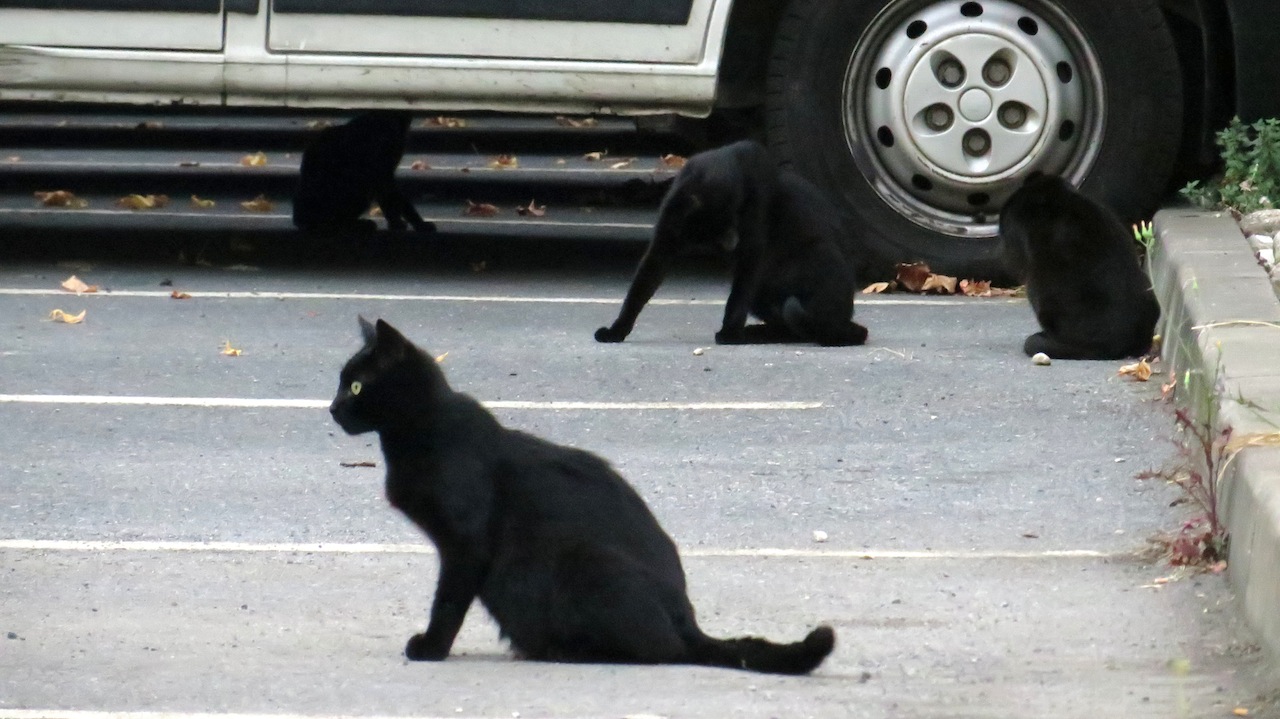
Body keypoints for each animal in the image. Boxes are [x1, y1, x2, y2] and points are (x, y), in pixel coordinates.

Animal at [294, 110, 440, 235]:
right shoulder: (382, 165)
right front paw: (417, 223)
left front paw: (396, 222)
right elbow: (391, 193)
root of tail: (300, 218)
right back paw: (354, 224)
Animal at [325, 314, 834, 670]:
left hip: (583, 561)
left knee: (660, 650)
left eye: (357, 385)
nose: (331, 408)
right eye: (340, 384)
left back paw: (564, 650)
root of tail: (688, 622)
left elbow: (448, 602)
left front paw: (430, 648)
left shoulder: (465, 544)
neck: (421, 431)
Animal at [593, 138, 865, 345]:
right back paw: (761, 333)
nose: (731, 243)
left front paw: (730, 333)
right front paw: (617, 330)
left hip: (815, 257)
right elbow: (641, 286)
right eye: (708, 238)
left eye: (730, 222)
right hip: (764, 291)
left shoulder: (753, 247)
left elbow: (738, 295)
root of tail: (845, 317)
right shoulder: (665, 237)